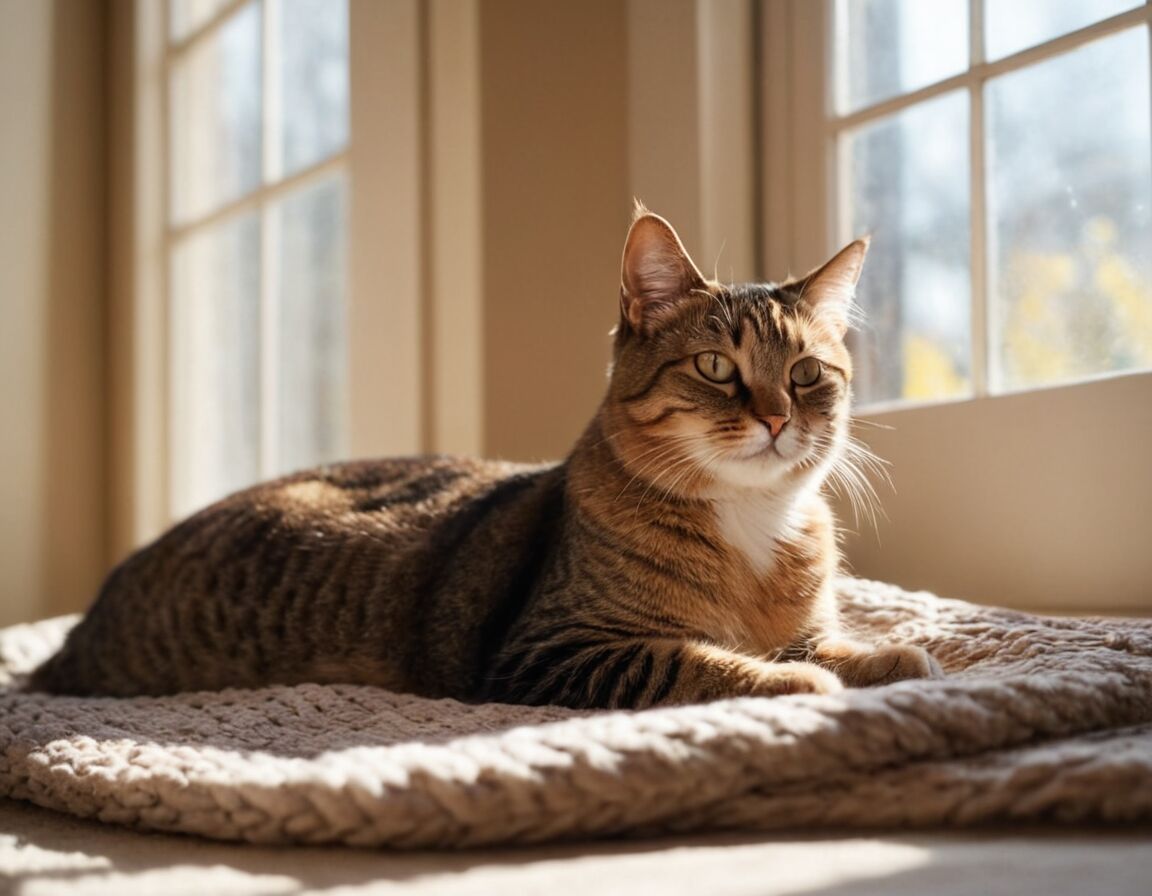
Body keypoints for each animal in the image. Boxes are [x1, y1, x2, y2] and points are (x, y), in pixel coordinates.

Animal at [31, 207, 940, 704]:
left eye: (807, 373)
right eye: (717, 367)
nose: (779, 417)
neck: (752, 523)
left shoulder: (801, 626)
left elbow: (830, 647)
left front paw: (893, 657)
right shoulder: (556, 650)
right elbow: (701, 664)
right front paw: (796, 687)